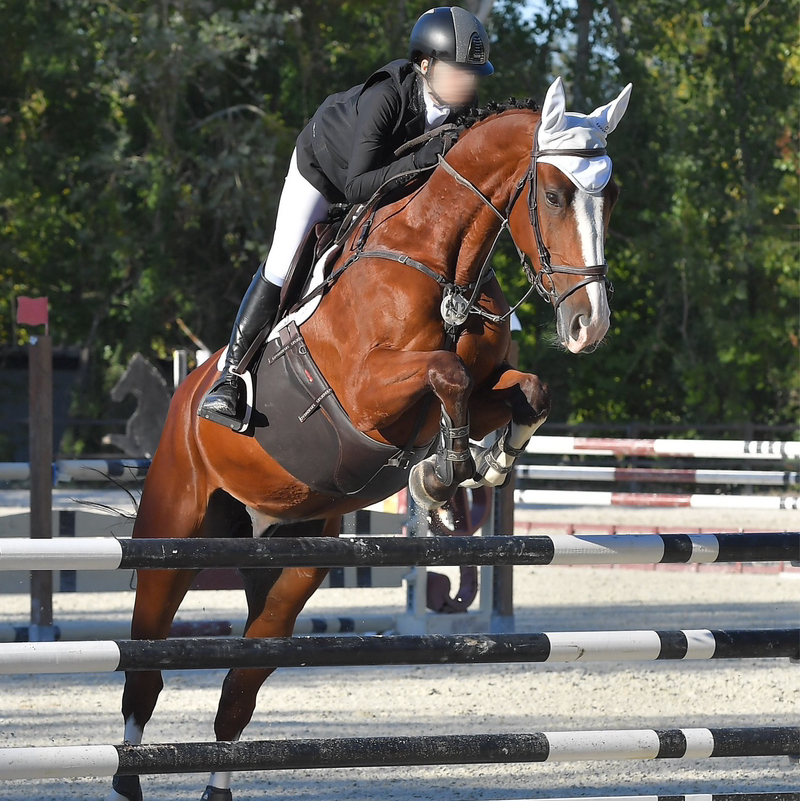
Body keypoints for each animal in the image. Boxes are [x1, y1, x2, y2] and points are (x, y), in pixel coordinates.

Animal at [108, 76, 632, 801]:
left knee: (239, 685)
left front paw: (486, 465)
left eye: (611, 195)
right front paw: (444, 475)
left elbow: (527, 389)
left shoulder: (478, 384)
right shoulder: (368, 396)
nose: (590, 325)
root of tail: (184, 400)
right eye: (553, 194)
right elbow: (446, 375)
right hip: (173, 540)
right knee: (145, 670)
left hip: (290, 563)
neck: (443, 260)